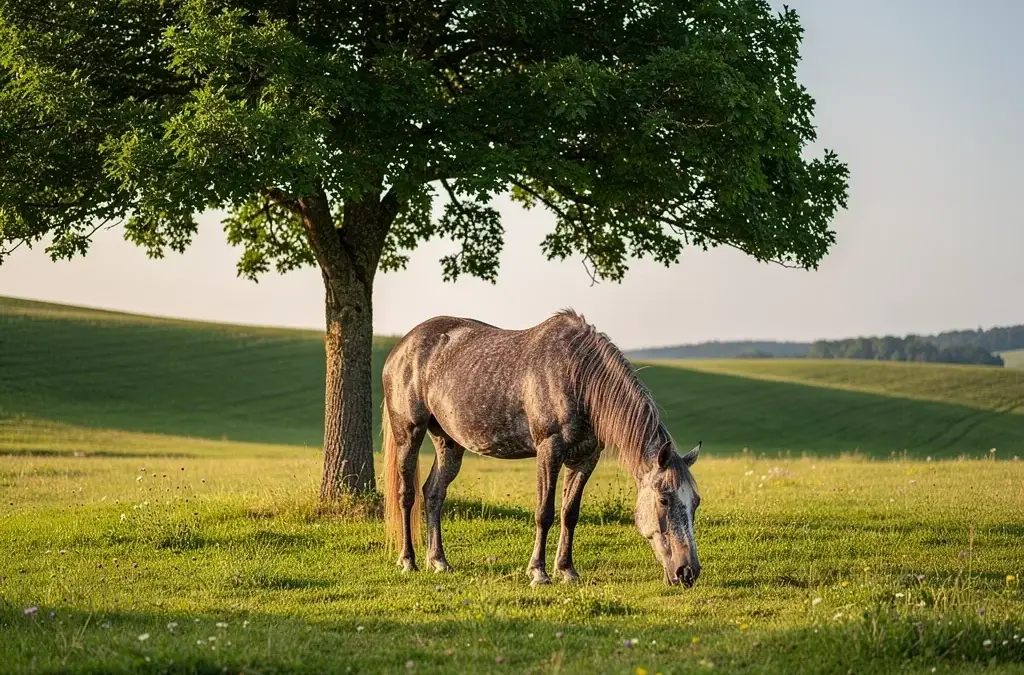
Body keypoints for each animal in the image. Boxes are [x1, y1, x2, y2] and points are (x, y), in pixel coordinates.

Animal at [381, 309, 702, 587]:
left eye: (696, 502)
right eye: (664, 500)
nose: (688, 572)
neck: (578, 376)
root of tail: (401, 348)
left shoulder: (585, 459)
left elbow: (570, 513)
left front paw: (567, 570)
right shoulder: (549, 451)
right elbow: (544, 513)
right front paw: (539, 572)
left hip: (448, 442)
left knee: (434, 493)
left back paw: (439, 561)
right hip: (409, 434)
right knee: (407, 495)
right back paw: (408, 560)